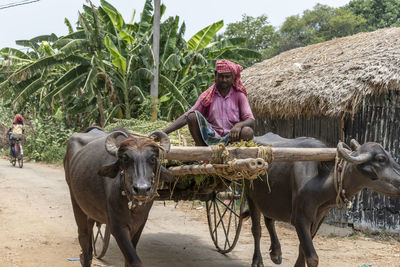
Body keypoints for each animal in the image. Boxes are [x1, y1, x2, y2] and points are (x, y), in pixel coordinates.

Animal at [64, 128, 172, 267]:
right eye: (125, 158)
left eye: (153, 158)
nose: (142, 189)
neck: (133, 206)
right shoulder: (117, 227)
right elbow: (135, 261)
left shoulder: (140, 225)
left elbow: (128, 259)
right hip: (75, 200)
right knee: (83, 237)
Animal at [247, 134, 400, 267]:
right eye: (381, 159)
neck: (319, 181)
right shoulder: (300, 218)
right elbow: (312, 256)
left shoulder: (319, 217)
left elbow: (302, 248)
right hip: (250, 196)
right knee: (256, 229)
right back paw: (257, 261)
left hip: (269, 199)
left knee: (269, 221)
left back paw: (276, 253)